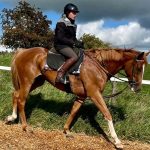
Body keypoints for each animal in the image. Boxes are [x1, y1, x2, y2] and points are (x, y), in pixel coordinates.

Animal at [5, 47, 149, 149]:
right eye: (138, 68)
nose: (137, 88)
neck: (99, 66)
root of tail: (23, 51)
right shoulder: (94, 94)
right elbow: (107, 114)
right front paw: (117, 141)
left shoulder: (81, 96)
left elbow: (74, 112)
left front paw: (67, 131)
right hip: (27, 81)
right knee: (21, 100)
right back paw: (25, 127)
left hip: (36, 82)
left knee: (15, 94)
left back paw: (11, 118)